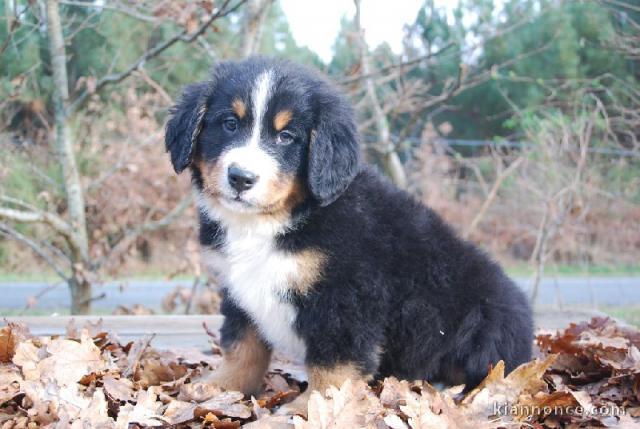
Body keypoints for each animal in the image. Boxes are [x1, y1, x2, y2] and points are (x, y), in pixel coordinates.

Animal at [162, 56, 532, 412]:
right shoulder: (240, 288)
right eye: (229, 124)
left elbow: (333, 365)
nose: (240, 177)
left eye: (286, 136)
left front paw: (313, 407)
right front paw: (220, 387)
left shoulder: (345, 297)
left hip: (483, 317)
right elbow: (242, 345)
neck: (277, 221)